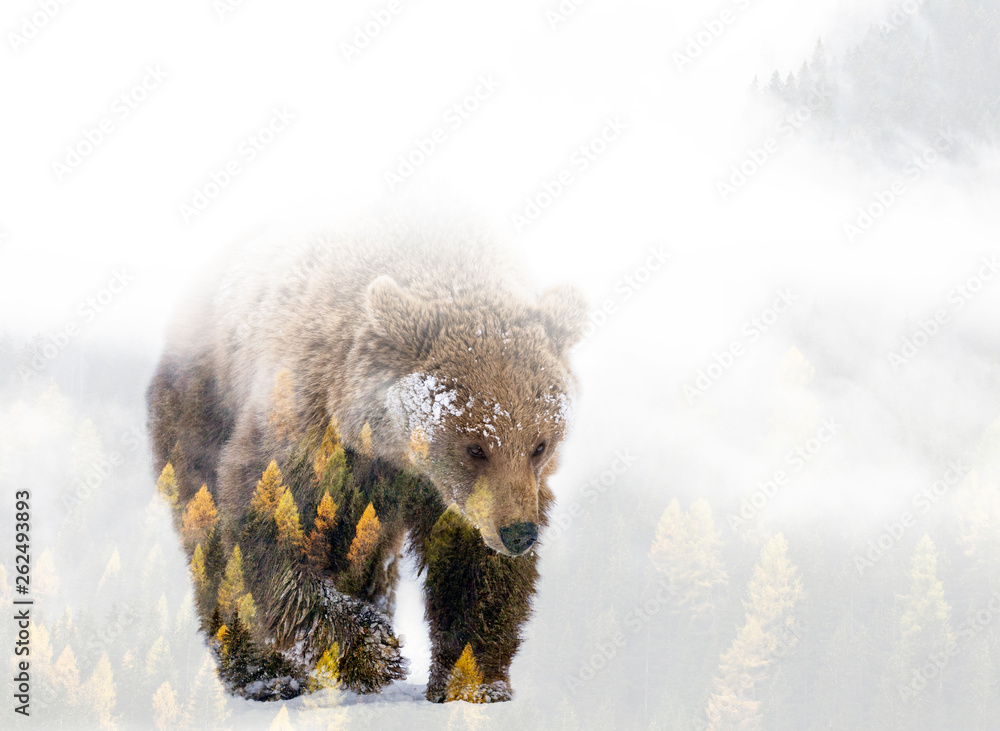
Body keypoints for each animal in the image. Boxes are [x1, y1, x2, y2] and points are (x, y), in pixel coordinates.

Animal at [146, 211, 588, 702]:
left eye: (539, 444)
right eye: (475, 447)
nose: (518, 534)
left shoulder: (460, 498)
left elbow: (474, 573)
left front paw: (472, 680)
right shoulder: (313, 431)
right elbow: (269, 535)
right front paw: (374, 651)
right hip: (201, 404)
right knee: (209, 537)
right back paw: (262, 673)